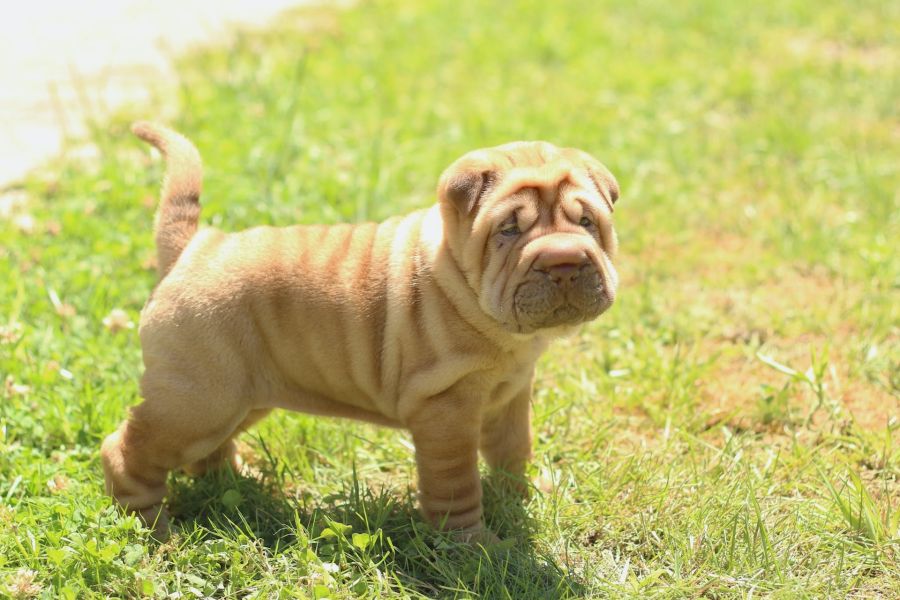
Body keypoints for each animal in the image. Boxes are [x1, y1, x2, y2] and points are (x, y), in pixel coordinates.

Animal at [100, 123, 620, 544]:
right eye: (509, 230)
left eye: (587, 222)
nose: (563, 261)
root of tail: (195, 247)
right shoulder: (445, 412)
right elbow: (457, 486)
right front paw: (475, 547)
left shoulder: (511, 393)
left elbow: (513, 449)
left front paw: (524, 498)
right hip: (197, 398)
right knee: (127, 449)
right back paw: (154, 529)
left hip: (238, 398)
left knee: (205, 452)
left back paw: (237, 483)